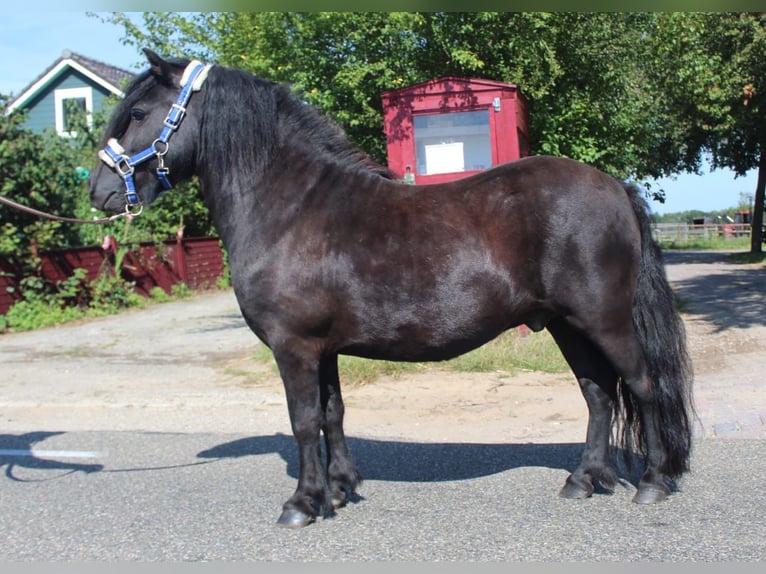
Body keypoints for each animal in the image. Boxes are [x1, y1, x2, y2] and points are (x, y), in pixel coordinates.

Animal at [88, 53, 696, 532]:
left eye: (138, 113)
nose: (98, 192)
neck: (289, 206)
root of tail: (613, 187)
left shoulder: (294, 346)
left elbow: (303, 420)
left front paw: (302, 503)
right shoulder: (323, 348)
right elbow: (331, 413)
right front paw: (338, 489)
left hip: (604, 320)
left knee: (642, 385)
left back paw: (653, 482)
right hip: (569, 325)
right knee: (598, 393)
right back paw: (584, 479)